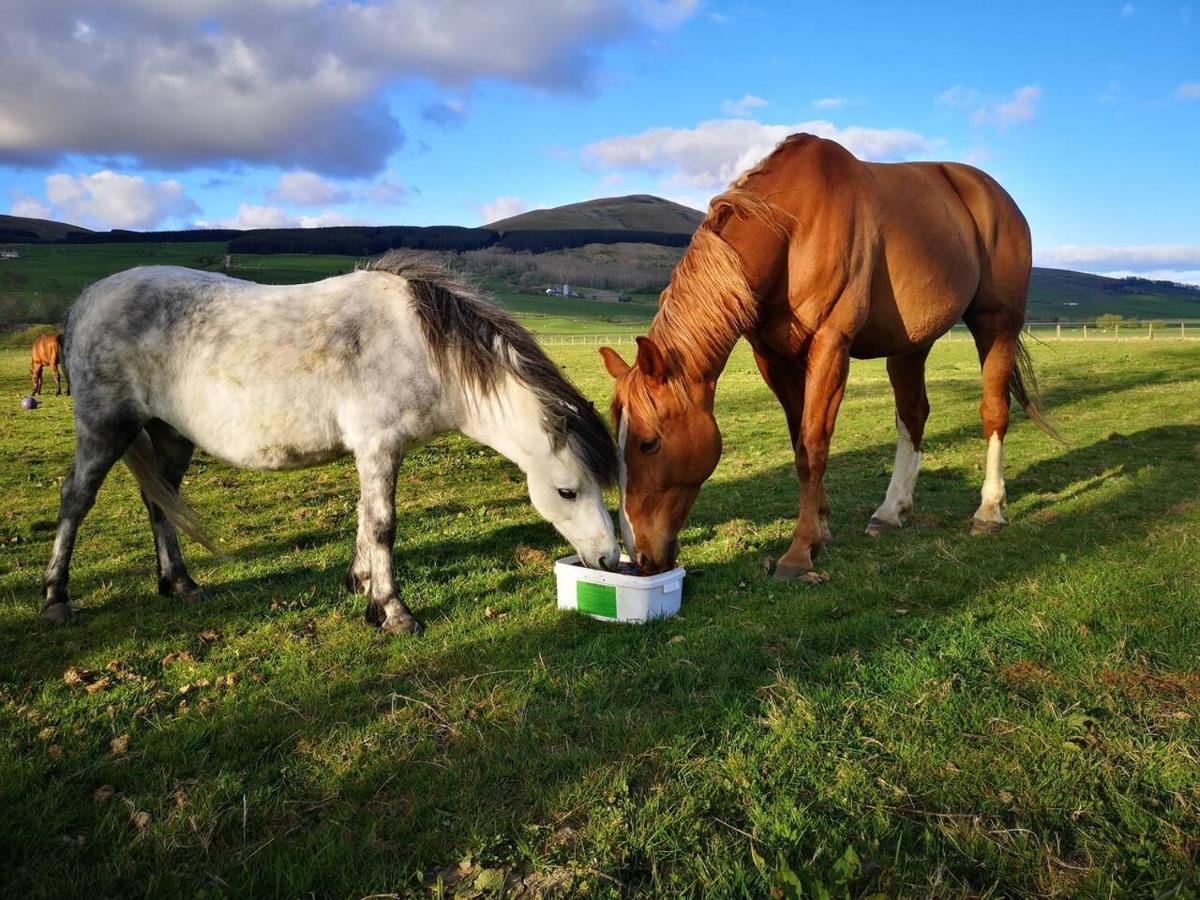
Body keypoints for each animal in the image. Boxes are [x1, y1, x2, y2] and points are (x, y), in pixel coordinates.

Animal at [39, 254, 619, 633]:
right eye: (567, 492)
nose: (609, 558)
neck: (422, 346)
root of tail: (85, 301)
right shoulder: (379, 444)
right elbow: (383, 525)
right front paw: (393, 612)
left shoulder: (376, 450)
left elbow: (365, 518)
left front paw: (361, 585)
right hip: (105, 427)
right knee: (76, 499)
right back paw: (56, 599)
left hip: (171, 435)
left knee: (161, 502)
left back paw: (179, 584)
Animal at [604, 135, 1056, 585]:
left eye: (648, 443)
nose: (640, 555)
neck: (791, 230)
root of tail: (994, 195)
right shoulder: (774, 359)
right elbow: (799, 445)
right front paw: (820, 530)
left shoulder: (830, 346)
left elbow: (814, 445)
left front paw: (800, 551)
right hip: (911, 344)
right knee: (913, 415)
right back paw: (891, 511)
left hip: (996, 324)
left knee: (994, 410)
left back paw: (989, 510)